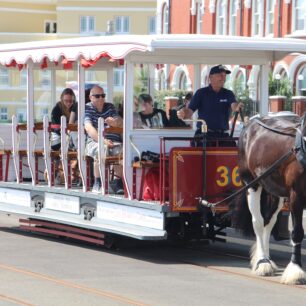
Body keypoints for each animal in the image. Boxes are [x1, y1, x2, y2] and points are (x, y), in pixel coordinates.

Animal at [237, 114, 306, 284]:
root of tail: (252, 121)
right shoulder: (296, 195)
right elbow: (297, 232)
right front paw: (295, 270)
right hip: (252, 184)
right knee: (258, 222)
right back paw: (262, 262)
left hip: (275, 191)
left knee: (269, 222)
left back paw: (266, 259)